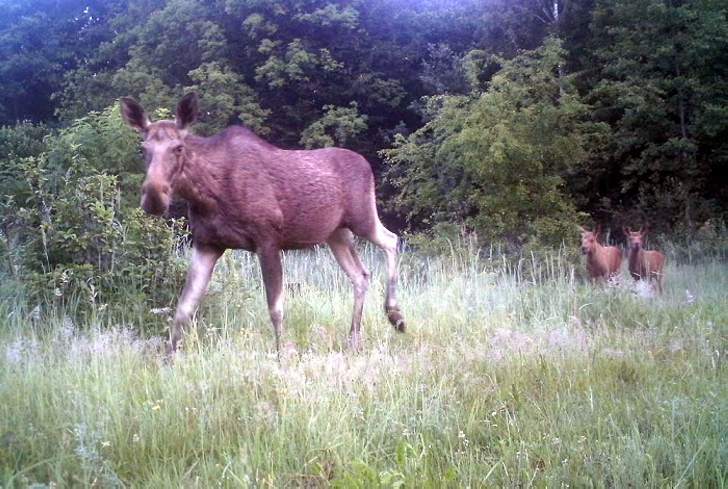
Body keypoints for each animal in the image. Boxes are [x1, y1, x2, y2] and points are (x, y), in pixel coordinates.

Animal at [119, 92, 404, 350]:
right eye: (142, 149)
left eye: (178, 148)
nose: (153, 196)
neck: (207, 194)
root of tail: (367, 164)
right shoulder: (206, 243)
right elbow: (183, 310)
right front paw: (169, 359)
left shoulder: (267, 240)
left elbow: (275, 309)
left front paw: (283, 356)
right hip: (336, 233)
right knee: (361, 274)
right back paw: (354, 339)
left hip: (362, 217)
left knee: (392, 240)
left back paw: (395, 315)